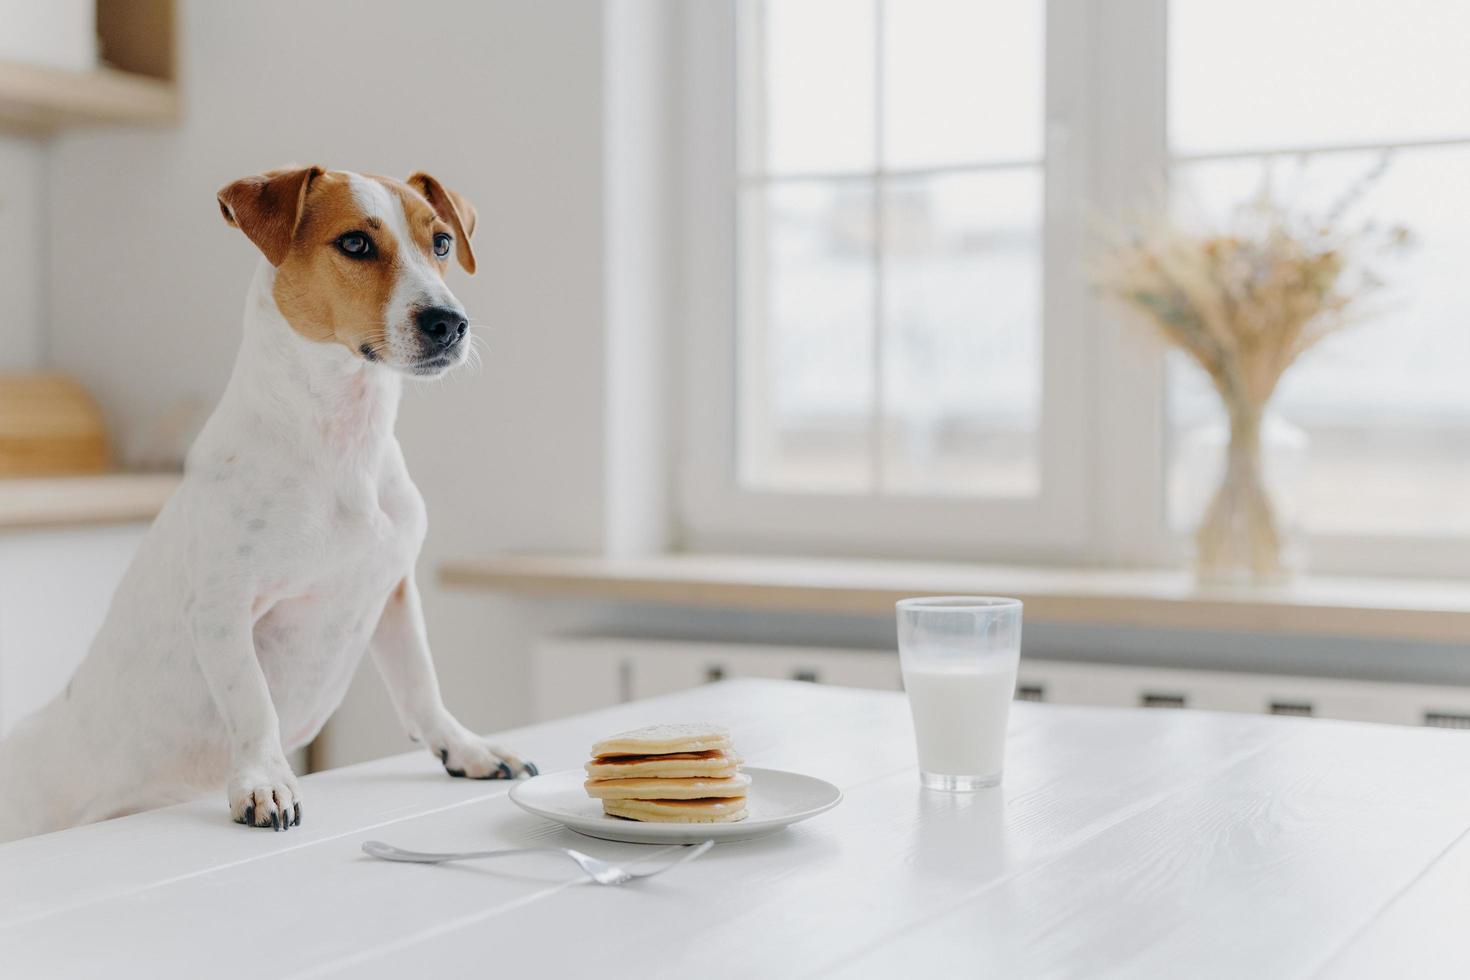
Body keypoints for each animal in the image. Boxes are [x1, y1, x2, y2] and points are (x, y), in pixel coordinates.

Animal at [0, 168, 535, 846]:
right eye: (356, 243)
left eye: (440, 242)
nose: (450, 322)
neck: (342, 441)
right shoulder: (223, 611)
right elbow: (253, 702)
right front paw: (264, 781)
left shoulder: (392, 591)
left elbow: (421, 683)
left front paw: (464, 748)